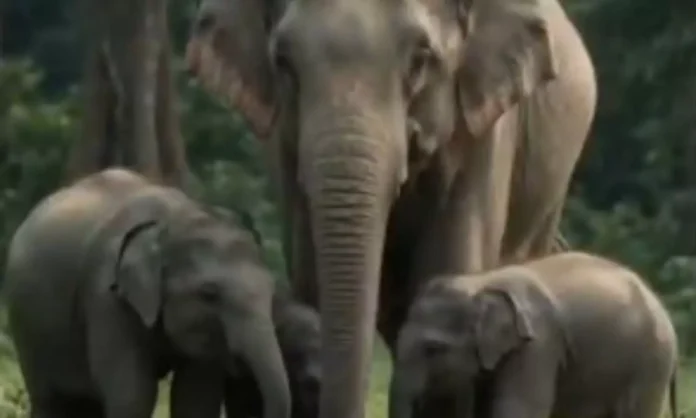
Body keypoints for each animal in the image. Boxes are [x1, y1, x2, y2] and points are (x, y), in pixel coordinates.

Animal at [3, 168, 290, 418]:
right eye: (209, 294)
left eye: (271, 292)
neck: (174, 221)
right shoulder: (105, 297)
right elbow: (133, 394)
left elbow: (196, 396)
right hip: (28, 329)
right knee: (51, 400)